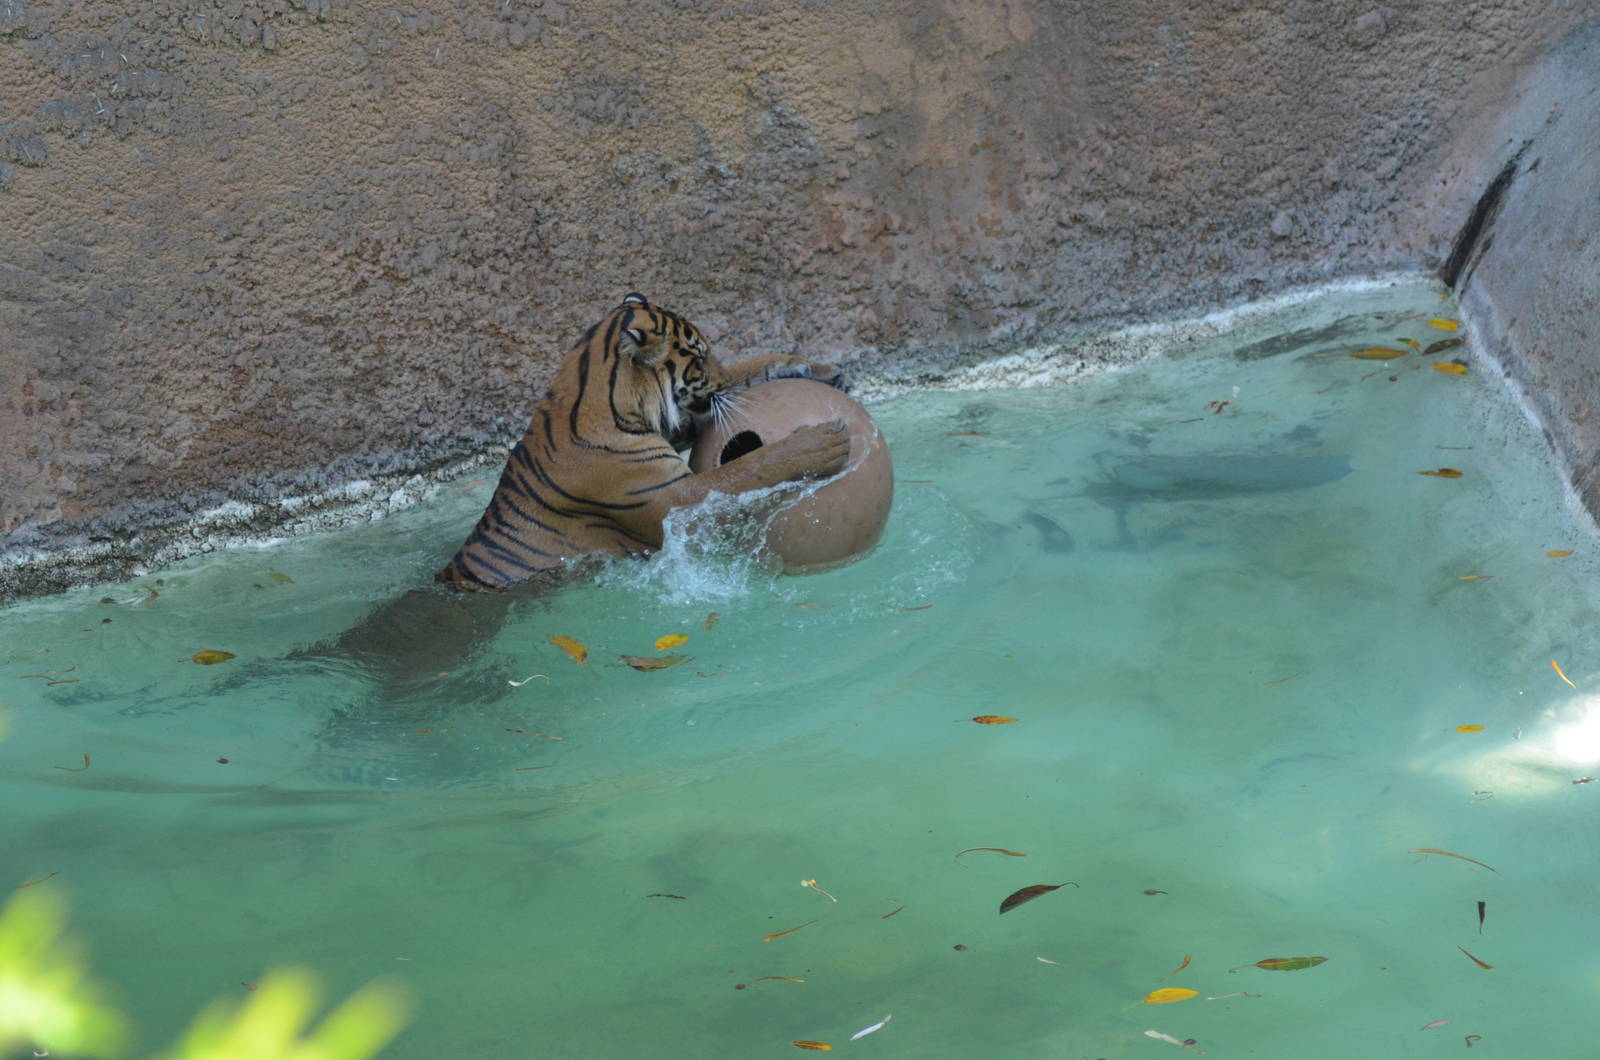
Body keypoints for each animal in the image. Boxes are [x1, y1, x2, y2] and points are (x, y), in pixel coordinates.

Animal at [435, 293, 852, 589]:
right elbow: (746, 469)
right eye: (700, 356)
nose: (716, 379)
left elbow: (746, 372)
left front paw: (818, 370)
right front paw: (823, 442)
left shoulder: (677, 426)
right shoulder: (675, 500)